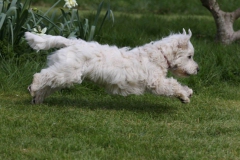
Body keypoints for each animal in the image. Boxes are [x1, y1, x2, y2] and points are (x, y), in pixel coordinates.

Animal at [25, 28, 200, 104]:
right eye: (189, 56)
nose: (198, 69)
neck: (159, 55)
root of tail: (71, 42)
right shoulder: (156, 82)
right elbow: (173, 85)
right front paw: (184, 95)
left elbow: (177, 84)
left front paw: (188, 93)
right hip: (68, 73)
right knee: (41, 76)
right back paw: (33, 88)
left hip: (63, 73)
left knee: (48, 84)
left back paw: (37, 99)